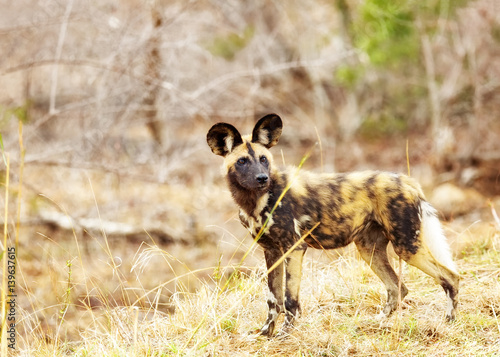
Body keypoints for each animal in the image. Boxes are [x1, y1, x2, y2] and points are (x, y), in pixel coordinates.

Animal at [205, 113, 458, 334]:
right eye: (242, 161)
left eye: (264, 159)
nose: (262, 178)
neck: (256, 200)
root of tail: (407, 181)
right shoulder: (272, 252)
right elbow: (272, 299)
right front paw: (265, 333)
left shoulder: (294, 249)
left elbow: (289, 299)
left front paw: (285, 334)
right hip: (370, 251)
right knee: (398, 288)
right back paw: (375, 322)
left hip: (406, 247)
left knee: (450, 277)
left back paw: (448, 321)